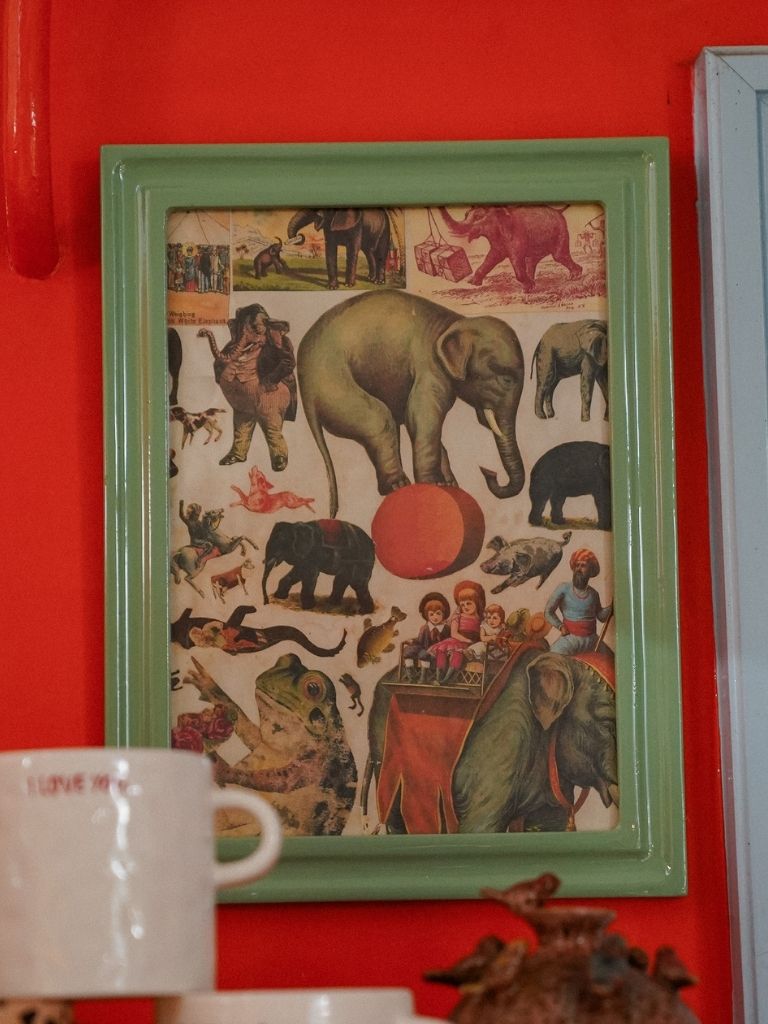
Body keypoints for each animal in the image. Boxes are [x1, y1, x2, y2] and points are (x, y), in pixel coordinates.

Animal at [197, 303, 297, 469]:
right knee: (241, 424)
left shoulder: (283, 342)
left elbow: (288, 360)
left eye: (257, 329)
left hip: (277, 400)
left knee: (272, 426)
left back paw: (279, 465)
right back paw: (230, 459)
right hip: (244, 408)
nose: (201, 332)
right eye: (237, 328)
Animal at [297, 290, 526, 517]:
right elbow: (421, 418)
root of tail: (306, 391)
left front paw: (449, 484)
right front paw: (432, 484)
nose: (489, 472)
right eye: (506, 379)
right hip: (333, 384)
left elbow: (417, 424)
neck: (454, 322)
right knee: (381, 420)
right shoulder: (429, 369)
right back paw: (398, 485)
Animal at [438, 205, 582, 292]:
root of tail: (559, 210)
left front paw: (528, 287)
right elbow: (492, 257)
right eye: (466, 214)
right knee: (532, 260)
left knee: (559, 256)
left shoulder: (516, 236)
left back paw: (575, 277)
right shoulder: (499, 241)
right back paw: (531, 285)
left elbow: (515, 259)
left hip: (561, 231)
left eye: (478, 217)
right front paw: (472, 283)